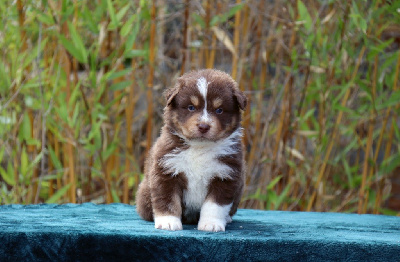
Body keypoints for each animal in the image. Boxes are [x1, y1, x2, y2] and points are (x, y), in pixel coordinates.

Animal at [136, 68, 245, 231]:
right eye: (191, 107)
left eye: (219, 110)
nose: (203, 126)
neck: (199, 147)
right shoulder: (166, 170)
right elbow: (167, 200)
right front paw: (168, 222)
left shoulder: (225, 174)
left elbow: (215, 205)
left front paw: (211, 224)